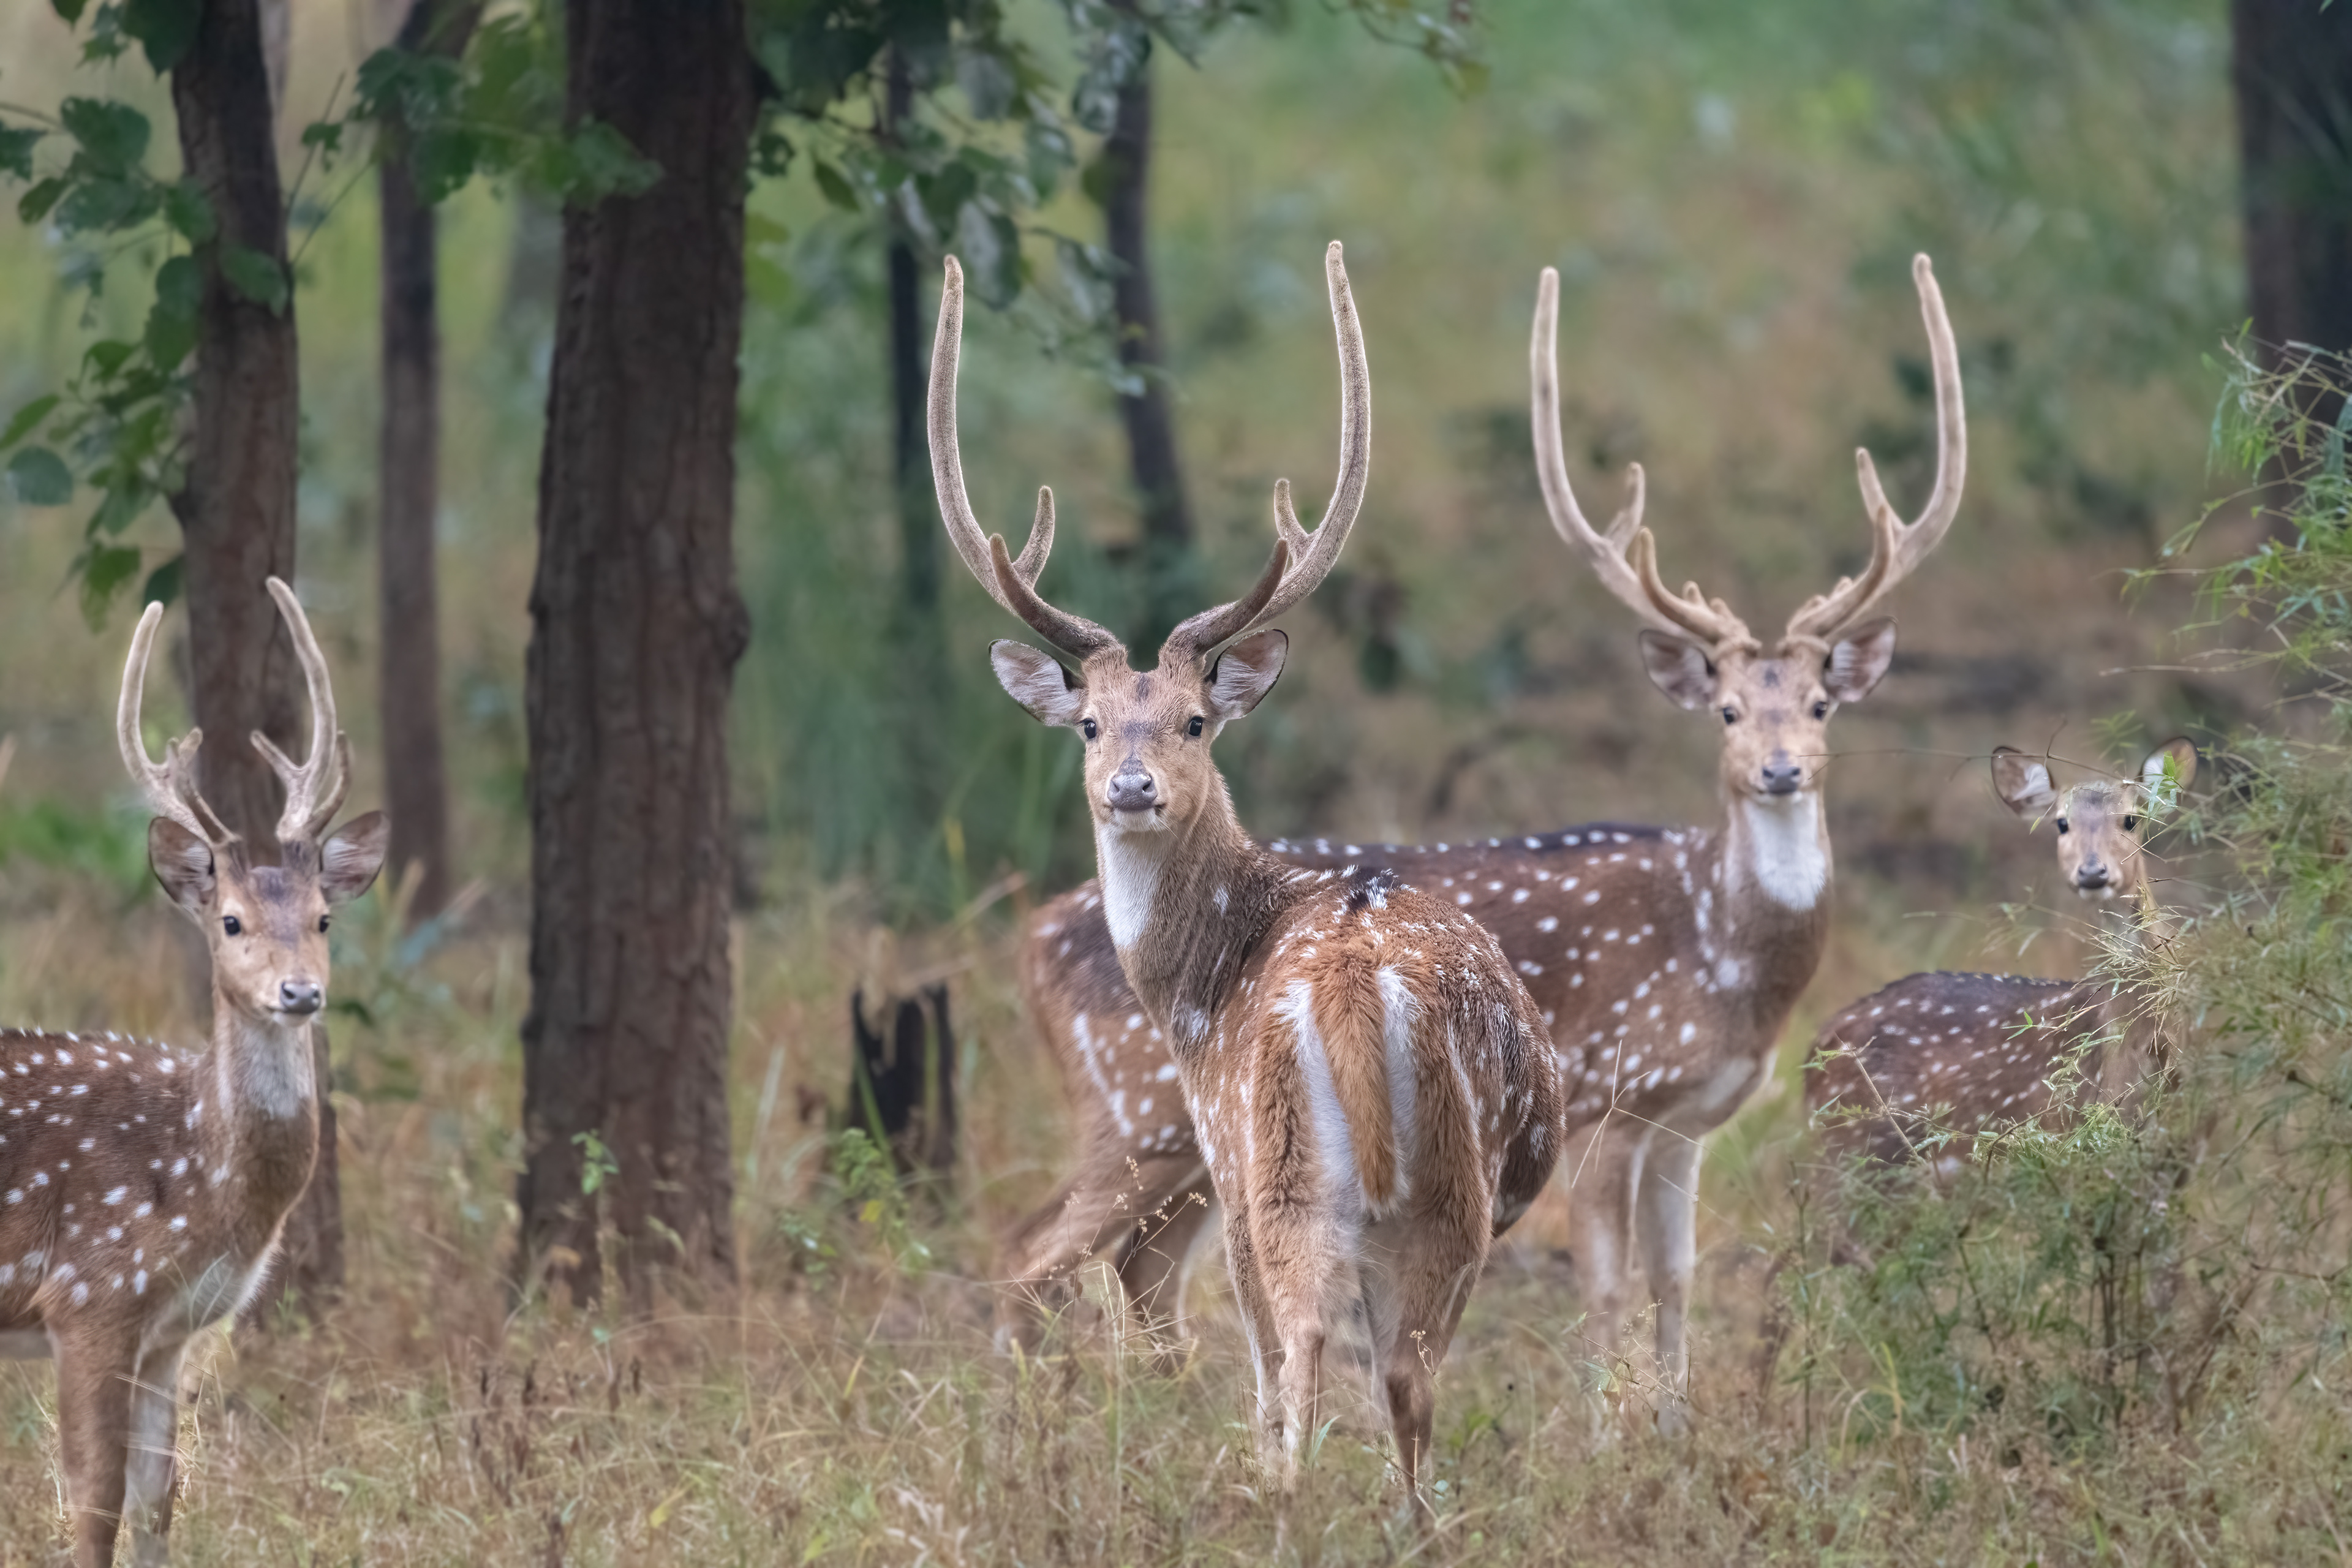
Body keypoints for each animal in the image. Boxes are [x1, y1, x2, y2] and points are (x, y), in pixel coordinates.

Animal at [0, 579, 387, 1568]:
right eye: (231, 920)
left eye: (325, 919)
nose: (300, 992)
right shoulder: (89, 1298)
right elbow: (92, 1511)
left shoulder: (174, 1334)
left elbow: (157, 1506)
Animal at [934, 240, 1566, 1511]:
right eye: (1088, 724)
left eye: (1193, 721)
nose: (1132, 787)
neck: (1202, 983)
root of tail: (1362, 1002)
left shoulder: (1223, 1163)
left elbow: (1266, 1365)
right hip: (1451, 1199)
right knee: (1409, 1372)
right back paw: (1411, 1517)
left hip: (1273, 1172)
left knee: (1299, 1343)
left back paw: (1286, 1498)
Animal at [996, 254, 1968, 1433]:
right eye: (1730, 711)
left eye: (1824, 706)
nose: (1782, 770)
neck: (1727, 957)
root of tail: (1033, 938)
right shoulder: (1610, 1094)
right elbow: (1609, 1286)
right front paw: (1609, 1435)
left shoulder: (1689, 1120)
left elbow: (1679, 1278)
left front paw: (1679, 1427)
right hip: (1138, 1117)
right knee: (1034, 1253)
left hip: (1192, 1143)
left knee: (1142, 1272)